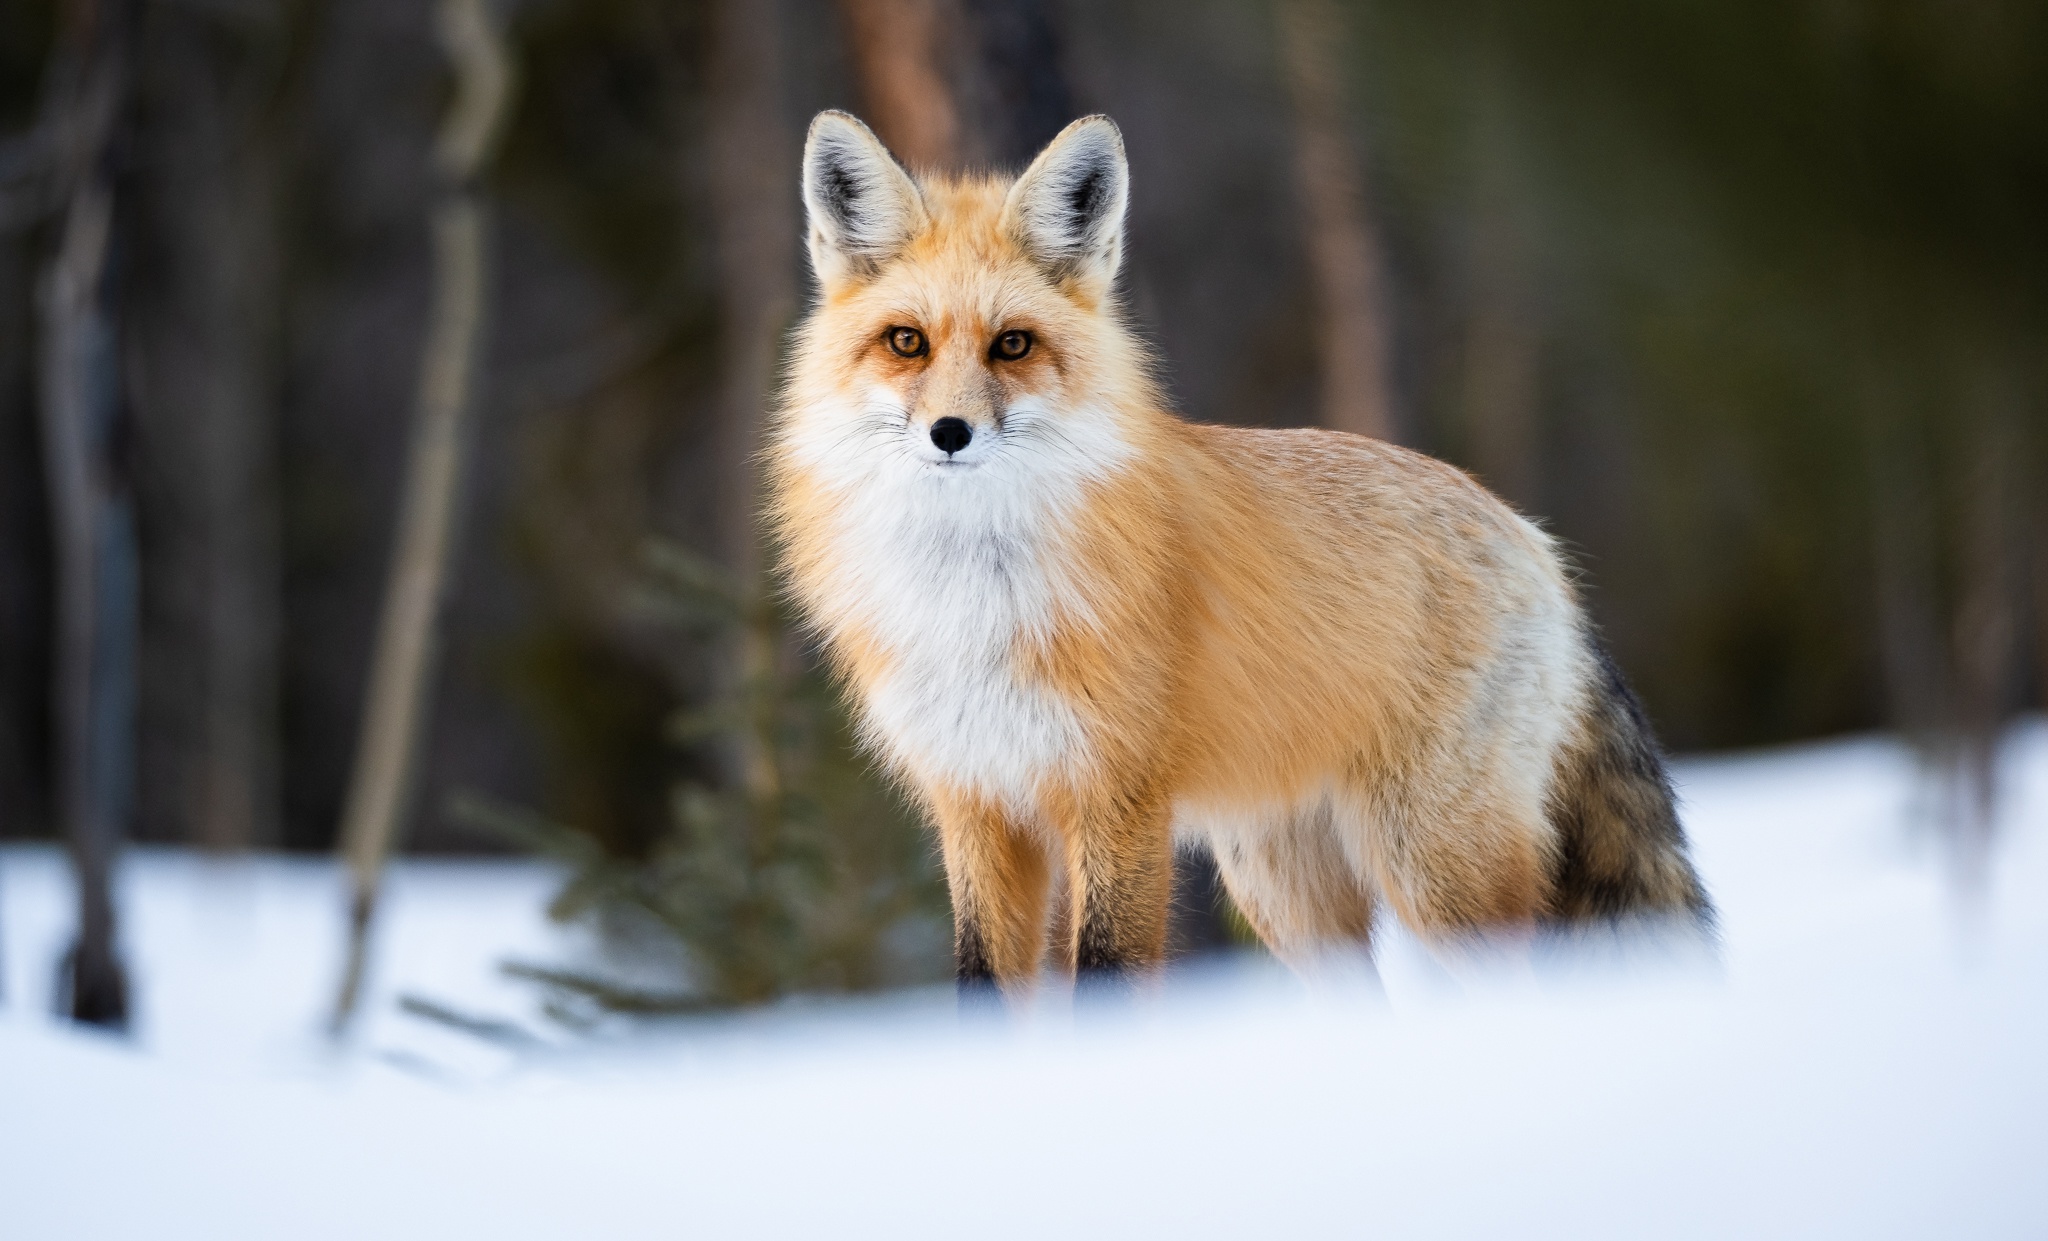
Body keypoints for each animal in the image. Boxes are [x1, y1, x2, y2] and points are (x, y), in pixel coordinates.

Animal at [770, 111, 1712, 1007]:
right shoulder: (977, 804)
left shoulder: (1117, 802)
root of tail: (1533, 537)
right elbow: (981, 989)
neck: (972, 602)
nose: (950, 433)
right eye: (907, 342)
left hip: (1434, 865)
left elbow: (1107, 977)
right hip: (1282, 886)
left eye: (1012, 345)